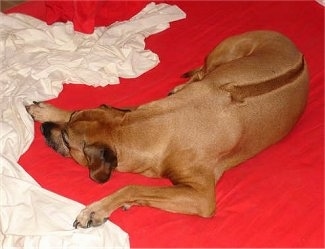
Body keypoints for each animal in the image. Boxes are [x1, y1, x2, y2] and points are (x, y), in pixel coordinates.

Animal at [26, 30, 308, 228]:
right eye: (69, 121)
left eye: (66, 139)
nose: (45, 129)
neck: (145, 127)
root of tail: (300, 54)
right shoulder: (136, 110)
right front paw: (46, 111)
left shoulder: (201, 196)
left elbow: (133, 187)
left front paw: (97, 209)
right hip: (223, 55)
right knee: (202, 73)